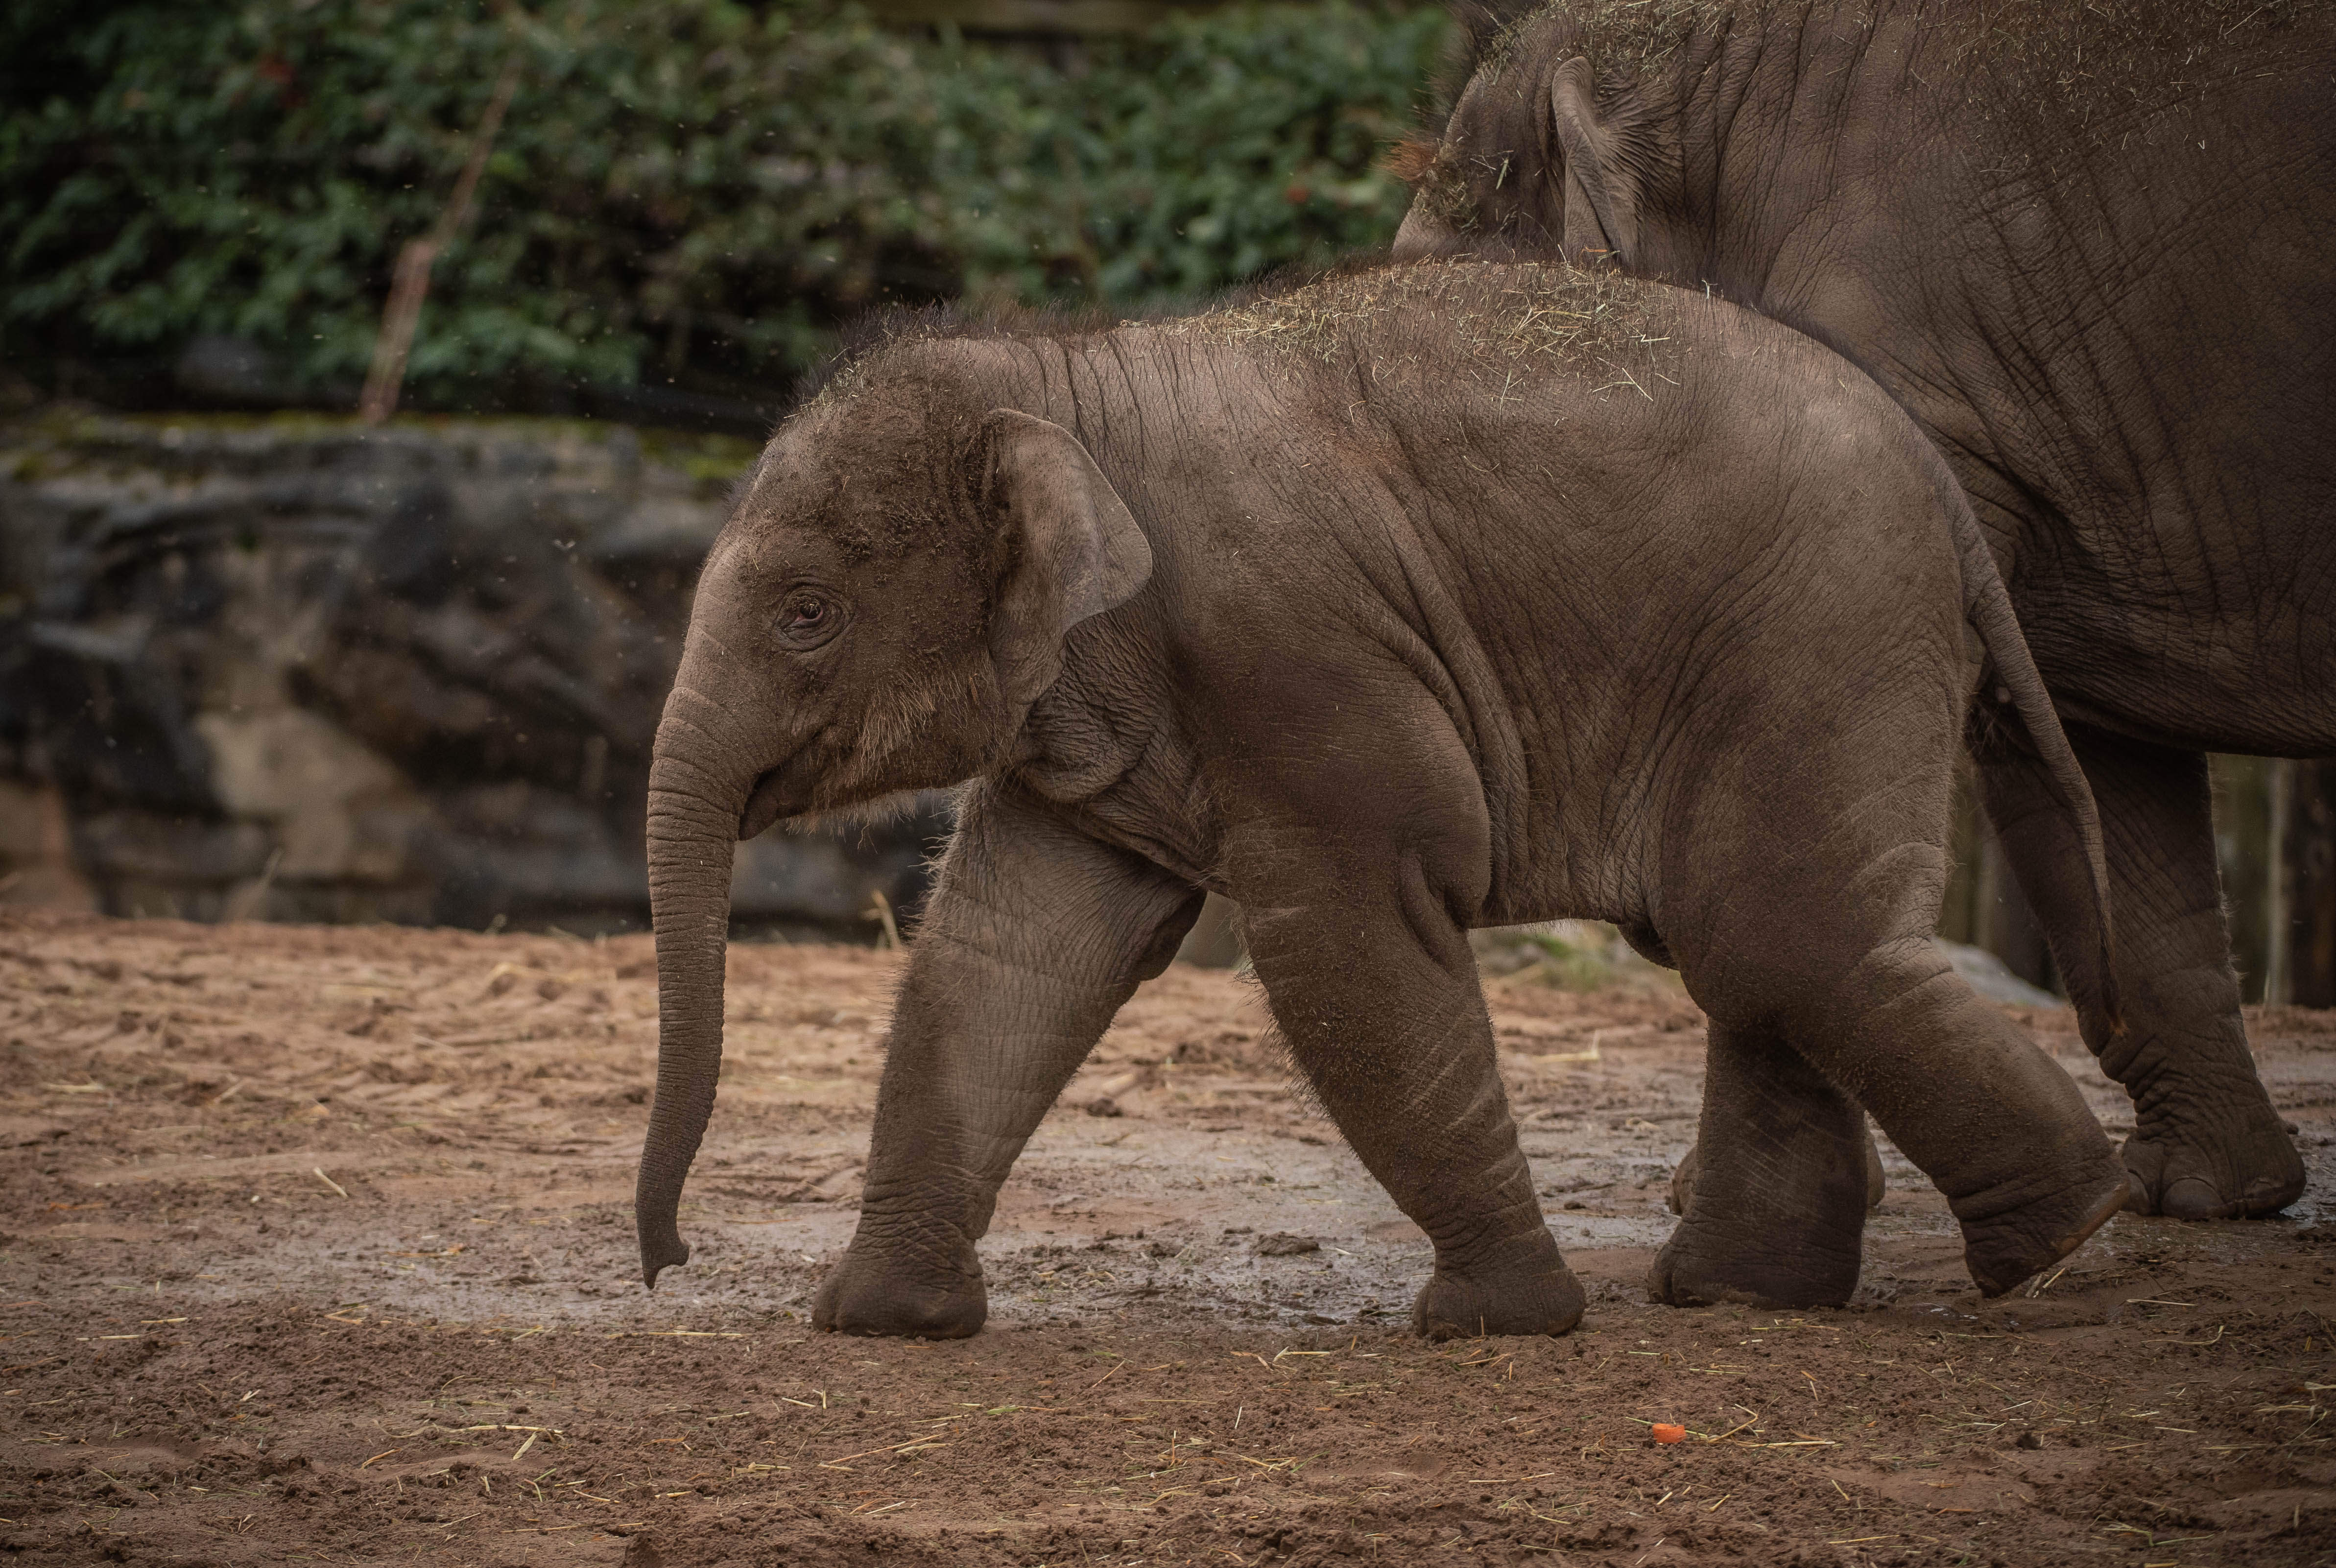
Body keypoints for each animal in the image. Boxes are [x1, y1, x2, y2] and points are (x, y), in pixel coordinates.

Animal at [633, 260, 2134, 1336]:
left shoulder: (1293, 647)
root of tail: (1941, 482)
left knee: (1776, 937)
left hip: (1818, 626)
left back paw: (2062, 1235)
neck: (1061, 373)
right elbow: (1010, 951)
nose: (666, 1263)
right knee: (1755, 948)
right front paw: (878, 1320)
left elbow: (1346, 937)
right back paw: (1755, 1292)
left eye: (808, 613)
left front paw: (1502, 1322)